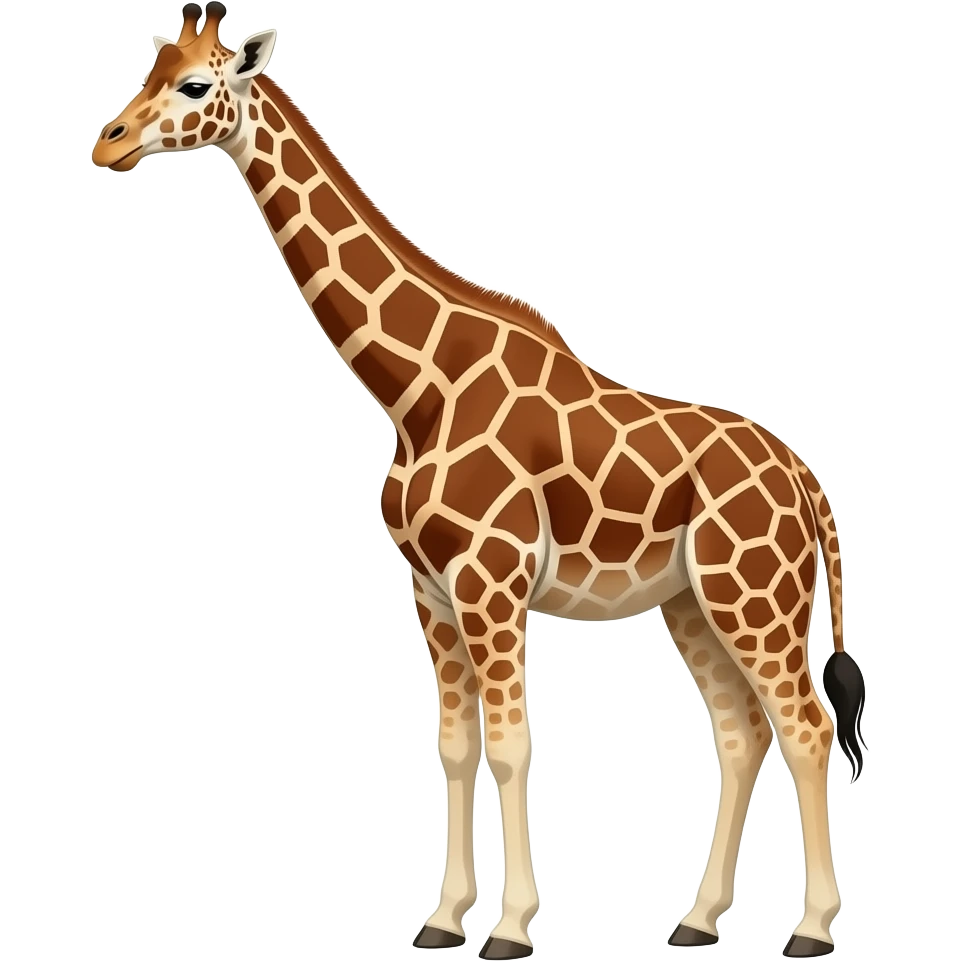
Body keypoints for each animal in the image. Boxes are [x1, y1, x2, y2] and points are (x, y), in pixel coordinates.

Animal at [91, 5, 869, 958]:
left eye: (197, 83)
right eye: (150, 69)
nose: (108, 143)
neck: (414, 391)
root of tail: (806, 481)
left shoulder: (491, 582)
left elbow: (510, 741)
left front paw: (509, 926)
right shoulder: (429, 589)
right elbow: (455, 744)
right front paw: (440, 917)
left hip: (754, 594)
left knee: (805, 724)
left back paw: (812, 928)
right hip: (691, 599)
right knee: (738, 728)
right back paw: (695, 917)